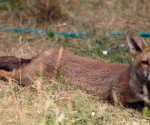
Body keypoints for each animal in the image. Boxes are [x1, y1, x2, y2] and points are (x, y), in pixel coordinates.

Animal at [0, 29, 150, 106]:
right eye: (145, 62)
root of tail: (46, 52)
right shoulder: (117, 96)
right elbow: (139, 103)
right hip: (27, 79)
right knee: (5, 74)